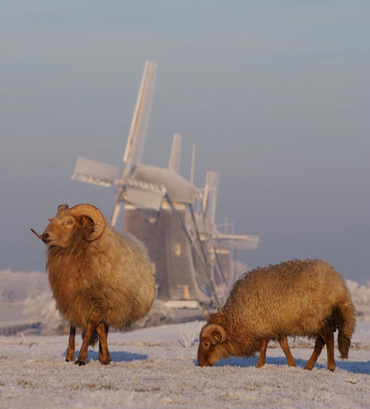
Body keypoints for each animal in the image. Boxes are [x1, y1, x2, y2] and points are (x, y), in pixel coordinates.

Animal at [30, 202, 155, 364]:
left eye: (69, 222)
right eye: (52, 219)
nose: (46, 236)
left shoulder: (99, 302)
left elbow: (90, 327)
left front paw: (81, 358)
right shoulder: (72, 298)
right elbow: (73, 325)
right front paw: (70, 355)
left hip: (112, 305)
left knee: (102, 329)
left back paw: (104, 357)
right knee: (102, 329)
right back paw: (104, 357)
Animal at [198, 260, 356, 372]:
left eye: (206, 344)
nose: (200, 364)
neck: (237, 318)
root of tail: (338, 287)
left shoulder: (263, 324)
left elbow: (264, 345)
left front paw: (260, 365)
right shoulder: (275, 324)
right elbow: (283, 344)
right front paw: (291, 363)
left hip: (317, 318)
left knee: (328, 339)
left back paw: (330, 366)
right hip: (317, 320)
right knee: (320, 342)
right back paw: (308, 366)